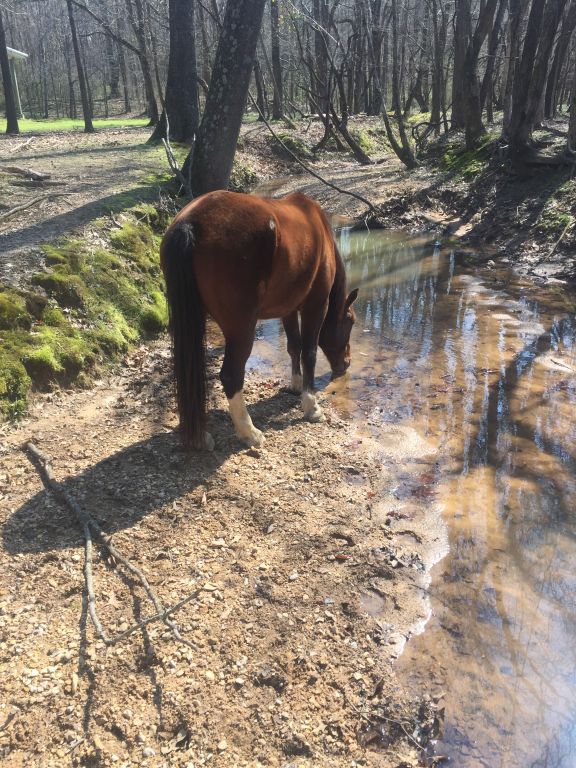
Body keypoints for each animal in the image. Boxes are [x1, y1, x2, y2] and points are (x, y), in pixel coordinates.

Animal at [158, 190, 356, 450]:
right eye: (350, 321)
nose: (346, 363)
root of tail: (189, 224)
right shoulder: (316, 305)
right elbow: (309, 353)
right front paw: (311, 406)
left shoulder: (288, 308)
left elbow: (294, 347)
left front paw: (295, 385)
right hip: (242, 328)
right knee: (230, 375)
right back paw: (248, 432)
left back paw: (200, 437)